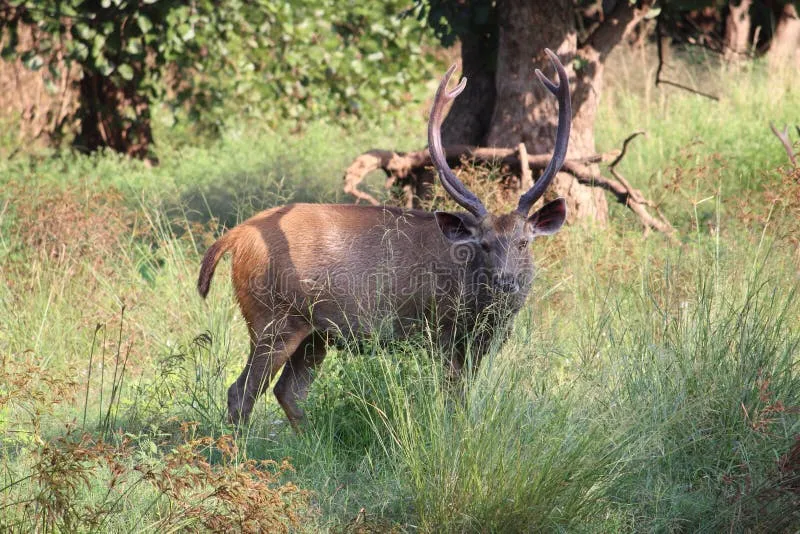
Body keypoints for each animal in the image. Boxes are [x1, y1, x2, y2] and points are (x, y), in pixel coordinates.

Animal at [198, 50, 572, 432]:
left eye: (524, 242)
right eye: (482, 244)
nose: (505, 282)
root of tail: (238, 235)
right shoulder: (440, 331)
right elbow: (451, 399)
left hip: (314, 333)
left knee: (288, 390)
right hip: (271, 318)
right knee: (241, 391)